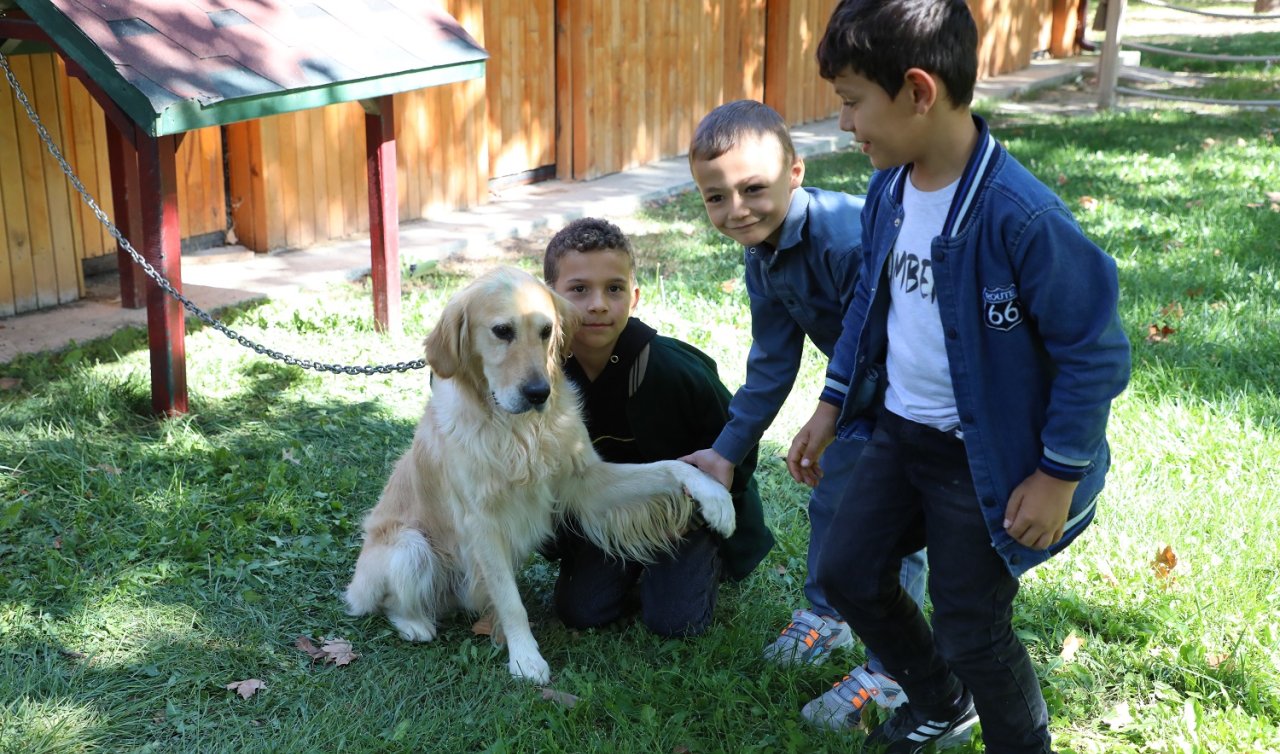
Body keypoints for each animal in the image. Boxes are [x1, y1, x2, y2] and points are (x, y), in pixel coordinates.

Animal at [345, 264, 737, 681]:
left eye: (546, 330)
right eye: (502, 331)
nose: (538, 393)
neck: (516, 429)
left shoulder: (587, 479)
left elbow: (670, 465)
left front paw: (716, 497)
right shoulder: (481, 522)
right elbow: (510, 601)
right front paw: (525, 657)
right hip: (409, 545)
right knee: (390, 602)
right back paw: (415, 624)